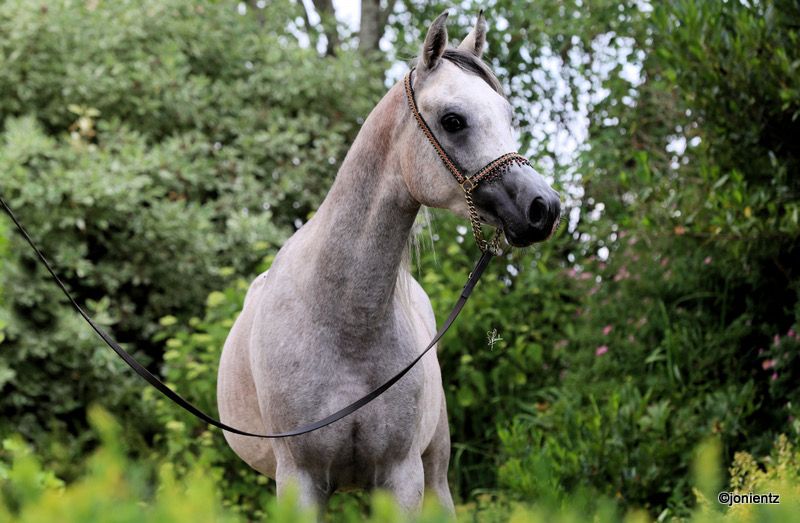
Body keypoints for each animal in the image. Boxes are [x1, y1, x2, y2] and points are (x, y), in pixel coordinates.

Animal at [216, 11, 561, 514]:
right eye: (453, 120)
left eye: (508, 116)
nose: (544, 208)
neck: (343, 320)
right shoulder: (299, 480)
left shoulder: (401, 478)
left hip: (435, 471)